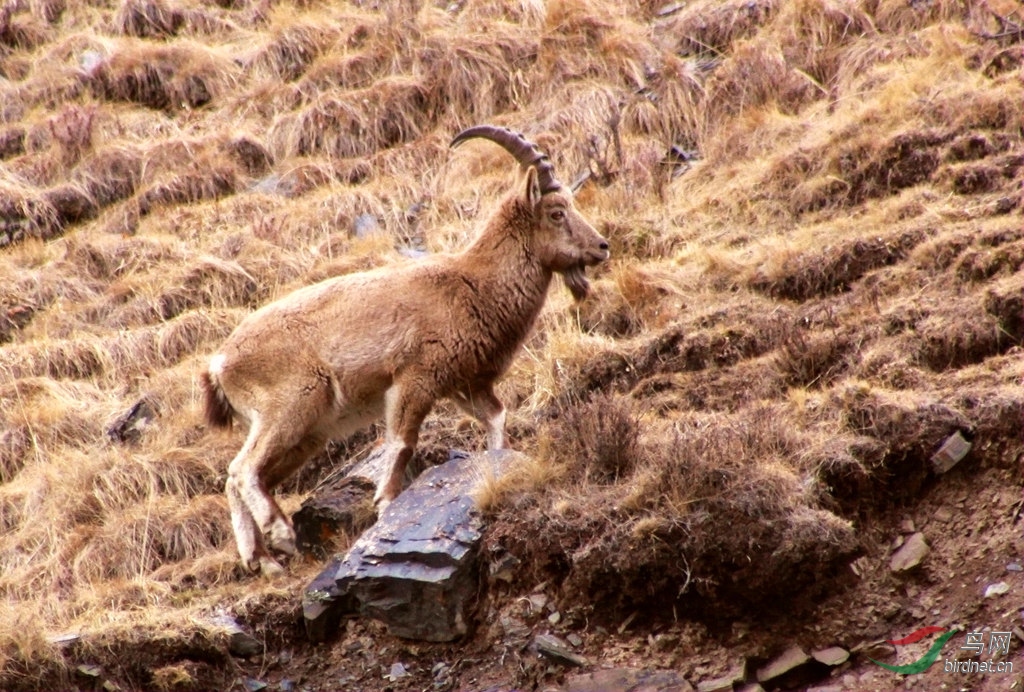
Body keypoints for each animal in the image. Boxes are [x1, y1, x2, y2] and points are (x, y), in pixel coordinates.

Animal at [203, 124, 610, 573]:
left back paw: (262, 559)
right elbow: (401, 443)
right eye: (556, 213)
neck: (472, 285)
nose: (602, 246)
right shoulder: (414, 379)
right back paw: (279, 533)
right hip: (291, 403)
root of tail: (220, 363)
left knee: (244, 476)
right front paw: (385, 505)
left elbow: (497, 420)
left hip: (306, 435)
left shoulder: (465, 385)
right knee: (241, 468)